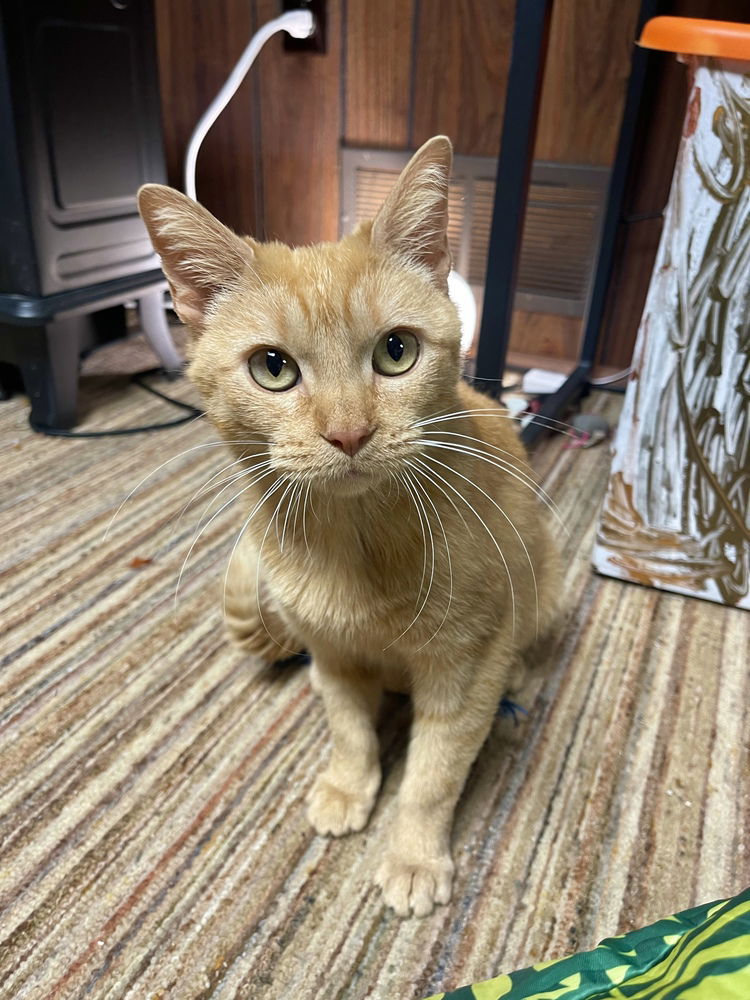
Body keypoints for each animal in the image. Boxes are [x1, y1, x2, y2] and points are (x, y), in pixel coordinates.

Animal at [138, 137, 560, 916]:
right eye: (273, 367)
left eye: (397, 351)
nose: (349, 433)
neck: (356, 544)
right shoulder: (331, 657)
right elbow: (349, 731)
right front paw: (347, 786)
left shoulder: (466, 669)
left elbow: (434, 773)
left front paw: (414, 854)